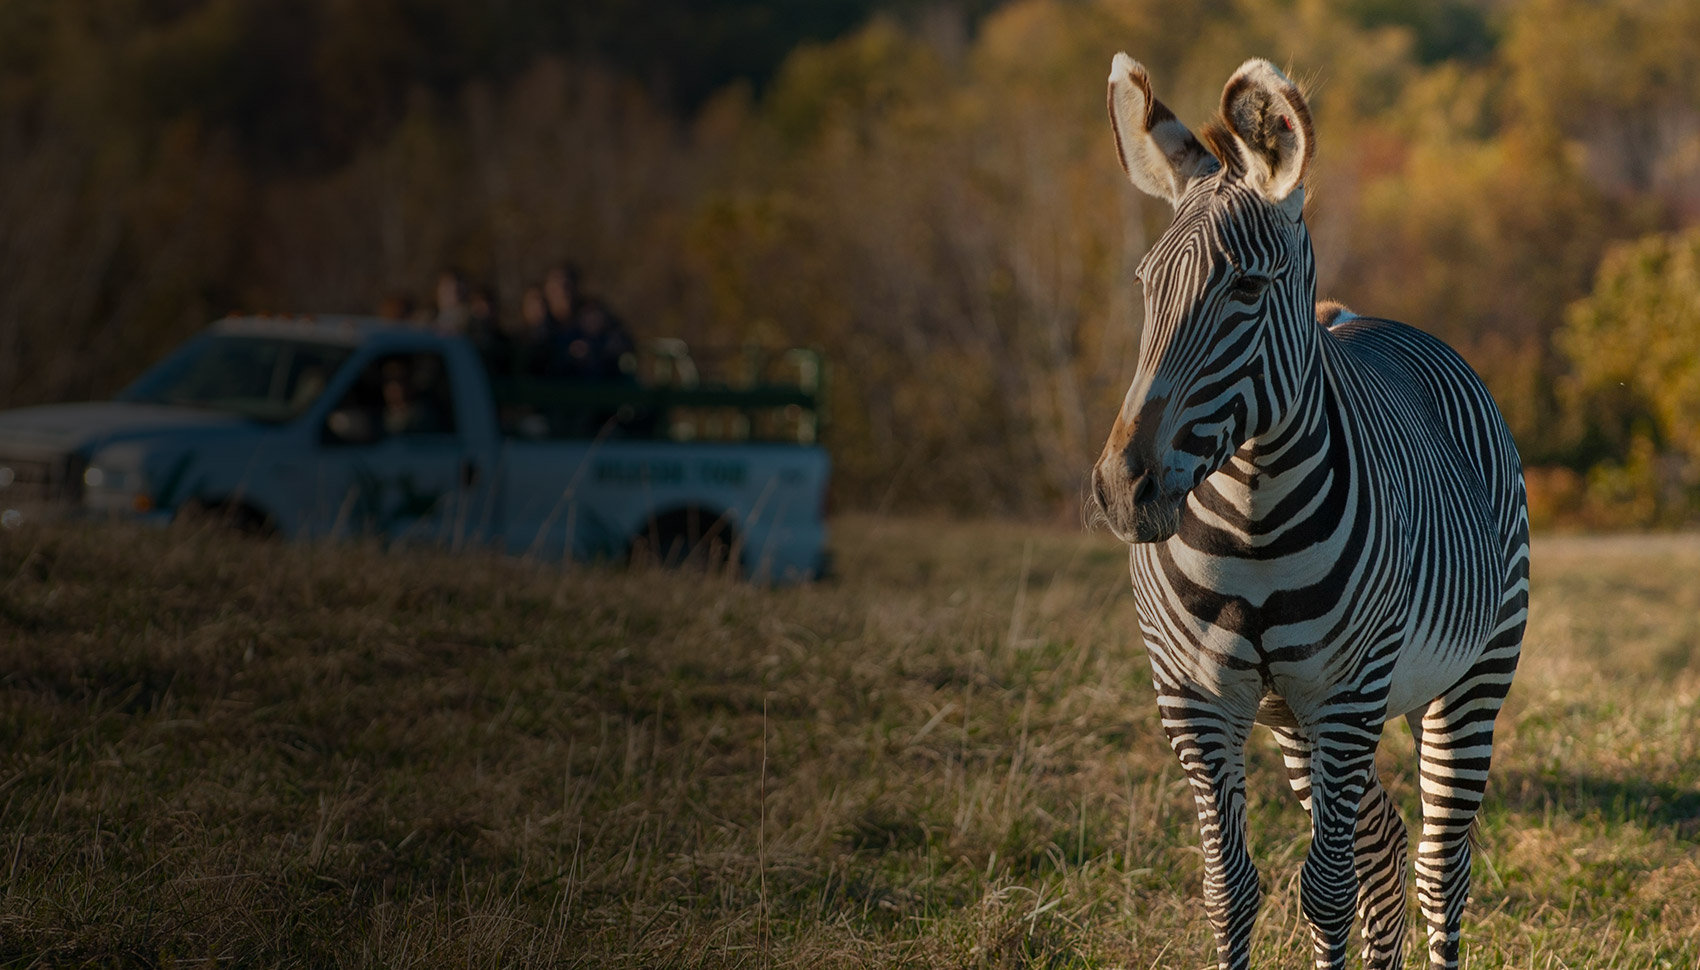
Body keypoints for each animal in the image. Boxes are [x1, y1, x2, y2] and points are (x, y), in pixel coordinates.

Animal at [1094, 55, 1536, 970]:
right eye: (1146, 286)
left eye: (1245, 287)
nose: (1123, 488)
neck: (1251, 525)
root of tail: (1357, 317)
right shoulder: (1196, 701)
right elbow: (1232, 892)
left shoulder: (1346, 695)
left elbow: (1324, 894)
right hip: (1296, 722)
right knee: (1385, 842)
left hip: (1473, 676)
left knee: (1442, 865)